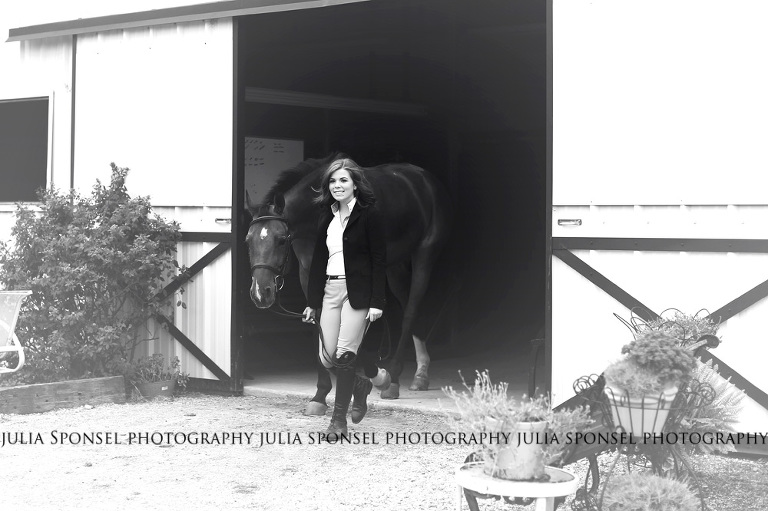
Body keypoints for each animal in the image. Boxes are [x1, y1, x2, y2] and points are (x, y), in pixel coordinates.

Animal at [244, 153, 450, 412]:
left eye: (281, 240)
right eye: (248, 240)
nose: (261, 293)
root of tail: (426, 179)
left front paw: (374, 377)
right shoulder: (308, 274)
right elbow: (319, 326)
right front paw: (320, 395)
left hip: (424, 255)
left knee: (411, 310)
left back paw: (394, 378)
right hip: (393, 266)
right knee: (406, 306)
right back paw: (421, 372)